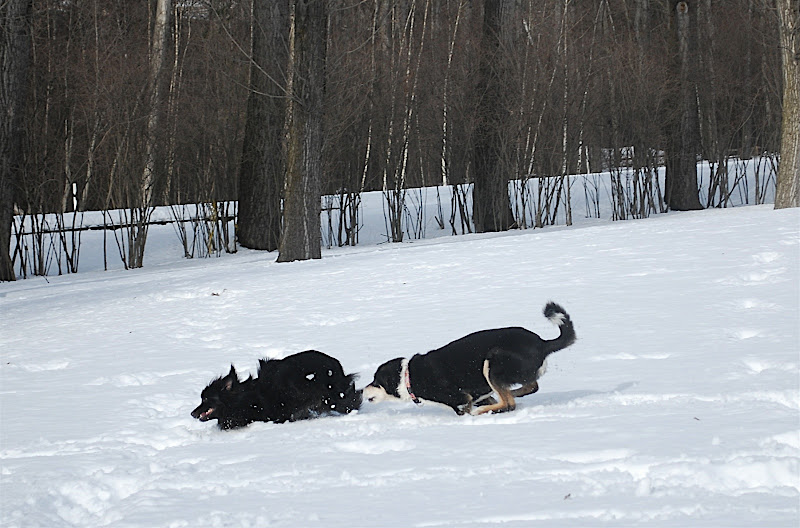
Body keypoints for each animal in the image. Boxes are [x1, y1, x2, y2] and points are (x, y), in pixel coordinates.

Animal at [362, 304, 576, 414]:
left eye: (376, 381)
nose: (361, 390)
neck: (408, 377)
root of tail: (543, 343)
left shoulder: (461, 400)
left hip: (492, 363)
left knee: (508, 404)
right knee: (528, 387)